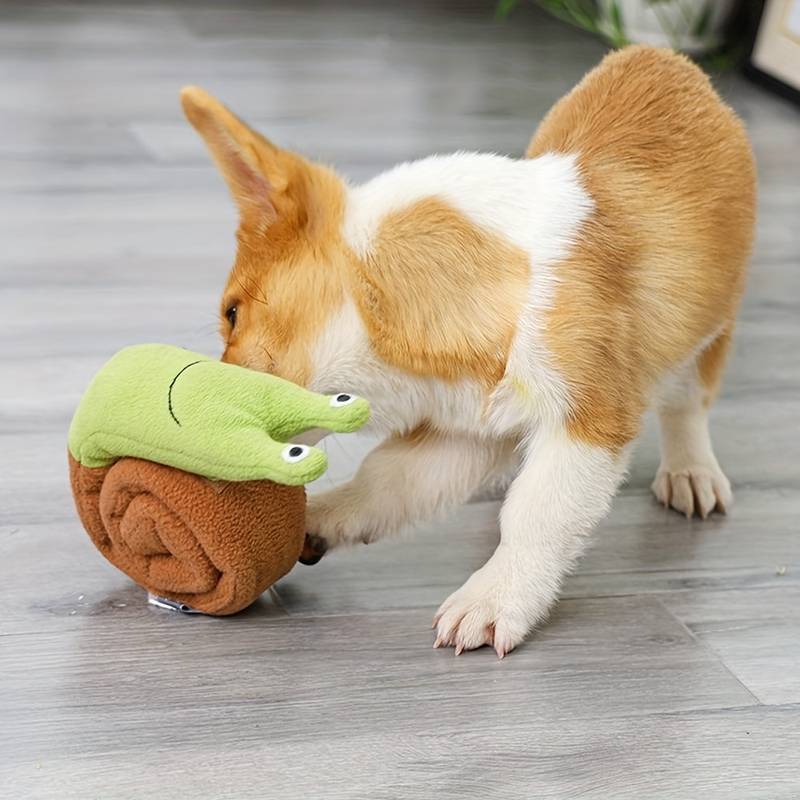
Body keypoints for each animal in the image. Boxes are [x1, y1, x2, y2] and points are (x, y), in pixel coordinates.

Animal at [181, 45, 756, 656]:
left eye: (232, 315)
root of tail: (664, 57)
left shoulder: (590, 422)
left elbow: (537, 515)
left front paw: (495, 598)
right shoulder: (461, 431)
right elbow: (386, 480)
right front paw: (320, 516)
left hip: (709, 329)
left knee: (687, 403)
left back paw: (691, 471)